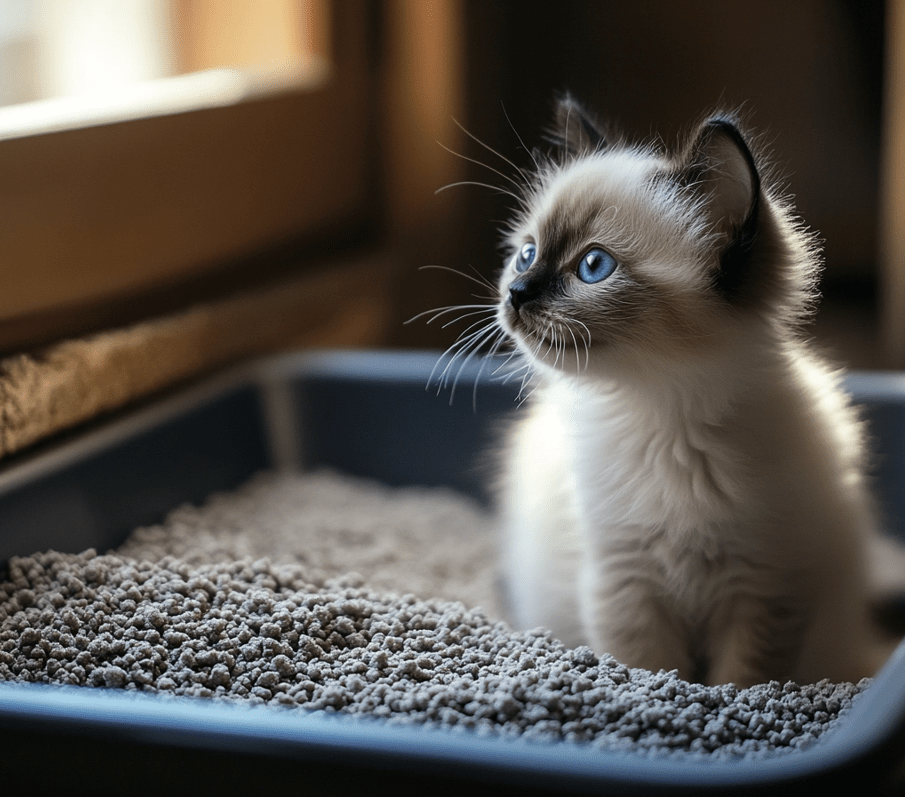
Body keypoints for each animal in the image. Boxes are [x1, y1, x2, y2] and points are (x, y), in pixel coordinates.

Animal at [488, 98, 888, 684]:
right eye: (526, 254)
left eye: (593, 266)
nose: (516, 293)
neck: (664, 417)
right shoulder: (624, 583)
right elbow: (650, 673)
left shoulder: (763, 588)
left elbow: (739, 684)